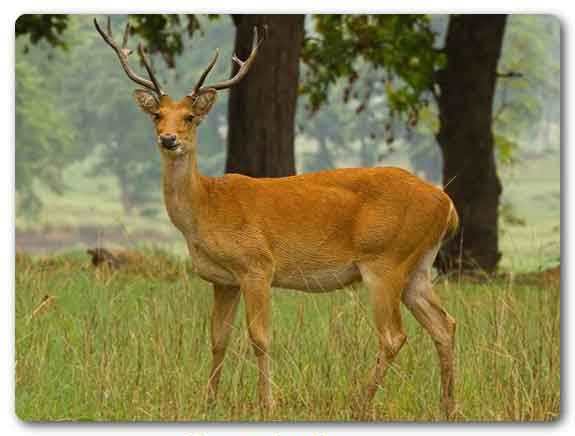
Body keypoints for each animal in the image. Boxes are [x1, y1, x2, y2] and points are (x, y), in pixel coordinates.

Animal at [94, 17, 462, 418]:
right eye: (158, 116)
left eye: (190, 117)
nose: (169, 139)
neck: (206, 208)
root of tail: (447, 205)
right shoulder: (223, 280)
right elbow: (218, 338)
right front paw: (209, 401)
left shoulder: (257, 265)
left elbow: (259, 337)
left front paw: (267, 402)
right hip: (418, 266)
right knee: (445, 324)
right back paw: (447, 407)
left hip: (385, 259)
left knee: (394, 335)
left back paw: (359, 404)